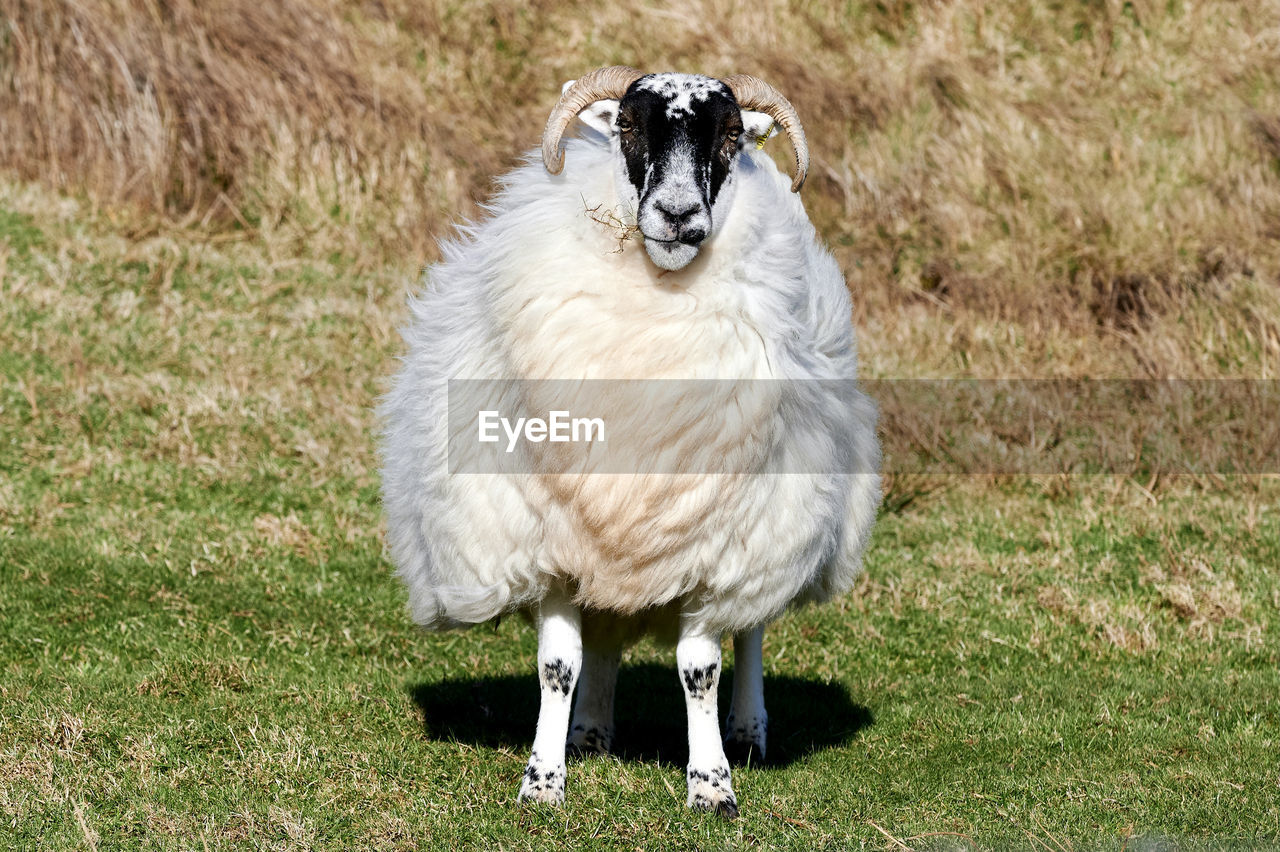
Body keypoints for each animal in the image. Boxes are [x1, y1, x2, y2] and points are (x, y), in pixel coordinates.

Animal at [378, 66, 880, 818]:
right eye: (628, 126)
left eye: (732, 136)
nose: (677, 215)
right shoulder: (554, 535)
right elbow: (558, 664)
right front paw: (543, 781)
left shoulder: (711, 541)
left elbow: (700, 669)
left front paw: (712, 784)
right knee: (606, 632)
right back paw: (589, 731)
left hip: (776, 519)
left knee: (752, 627)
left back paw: (747, 729)